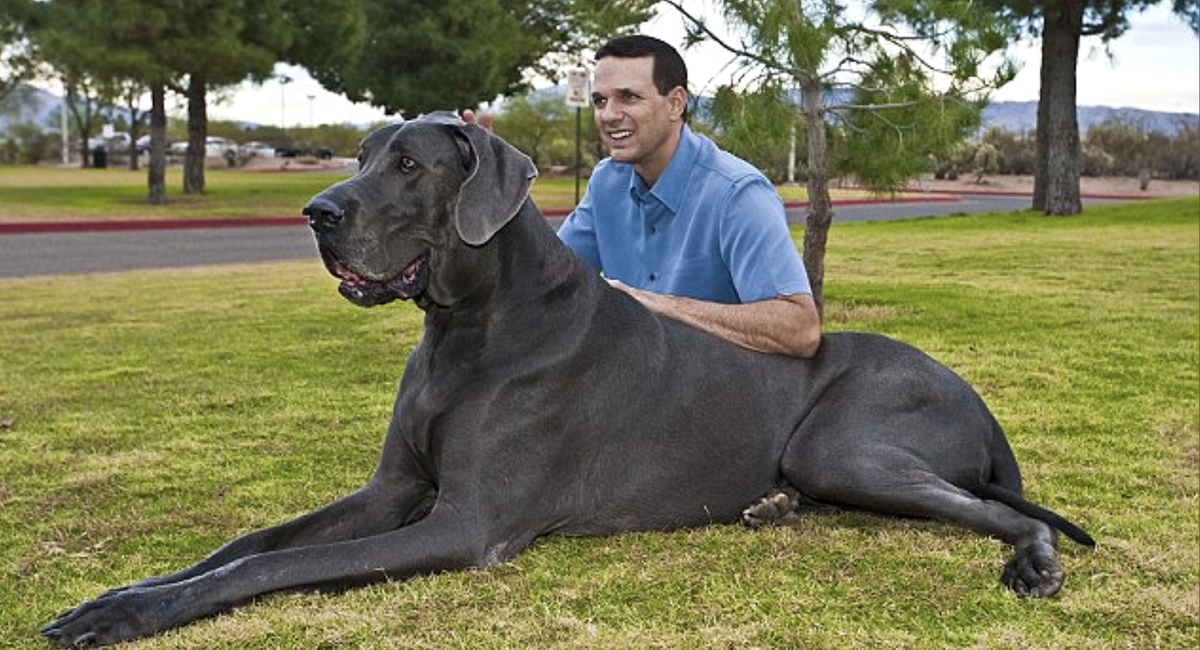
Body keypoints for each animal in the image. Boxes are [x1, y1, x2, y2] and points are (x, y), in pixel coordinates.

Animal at [44, 114, 1099, 647]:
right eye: (359, 156)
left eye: (409, 164)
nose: (316, 212)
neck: (467, 326)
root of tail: (982, 402)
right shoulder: (393, 489)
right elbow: (245, 543)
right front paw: (119, 595)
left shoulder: (464, 524)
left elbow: (270, 568)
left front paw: (129, 615)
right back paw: (770, 509)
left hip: (841, 445)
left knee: (1006, 512)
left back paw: (1032, 561)